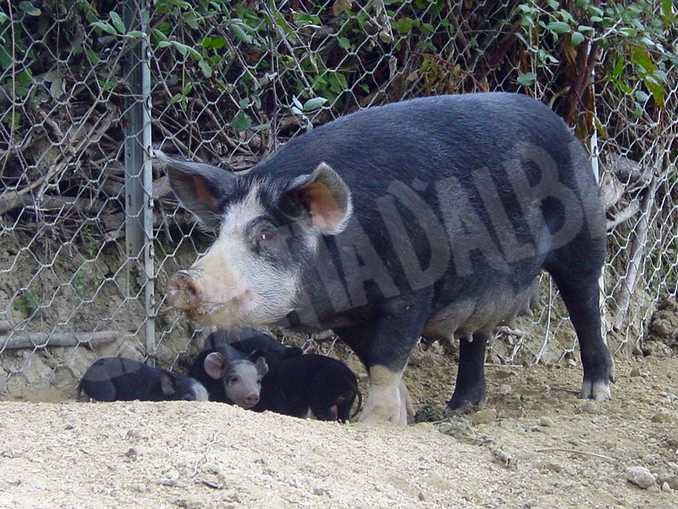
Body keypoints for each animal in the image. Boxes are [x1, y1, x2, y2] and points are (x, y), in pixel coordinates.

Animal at [161, 92, 616, 424]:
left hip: (584, 231)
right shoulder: (348, 316)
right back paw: (459, 407)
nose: (183, 279)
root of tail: (563, 125)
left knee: (586, 305)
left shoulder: (411, 291)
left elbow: (387, 359)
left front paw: (375, 426)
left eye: (266, 233)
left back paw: (596, 394)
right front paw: (407, 416)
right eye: (219, 231)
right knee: (476, 334)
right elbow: (373, 359)